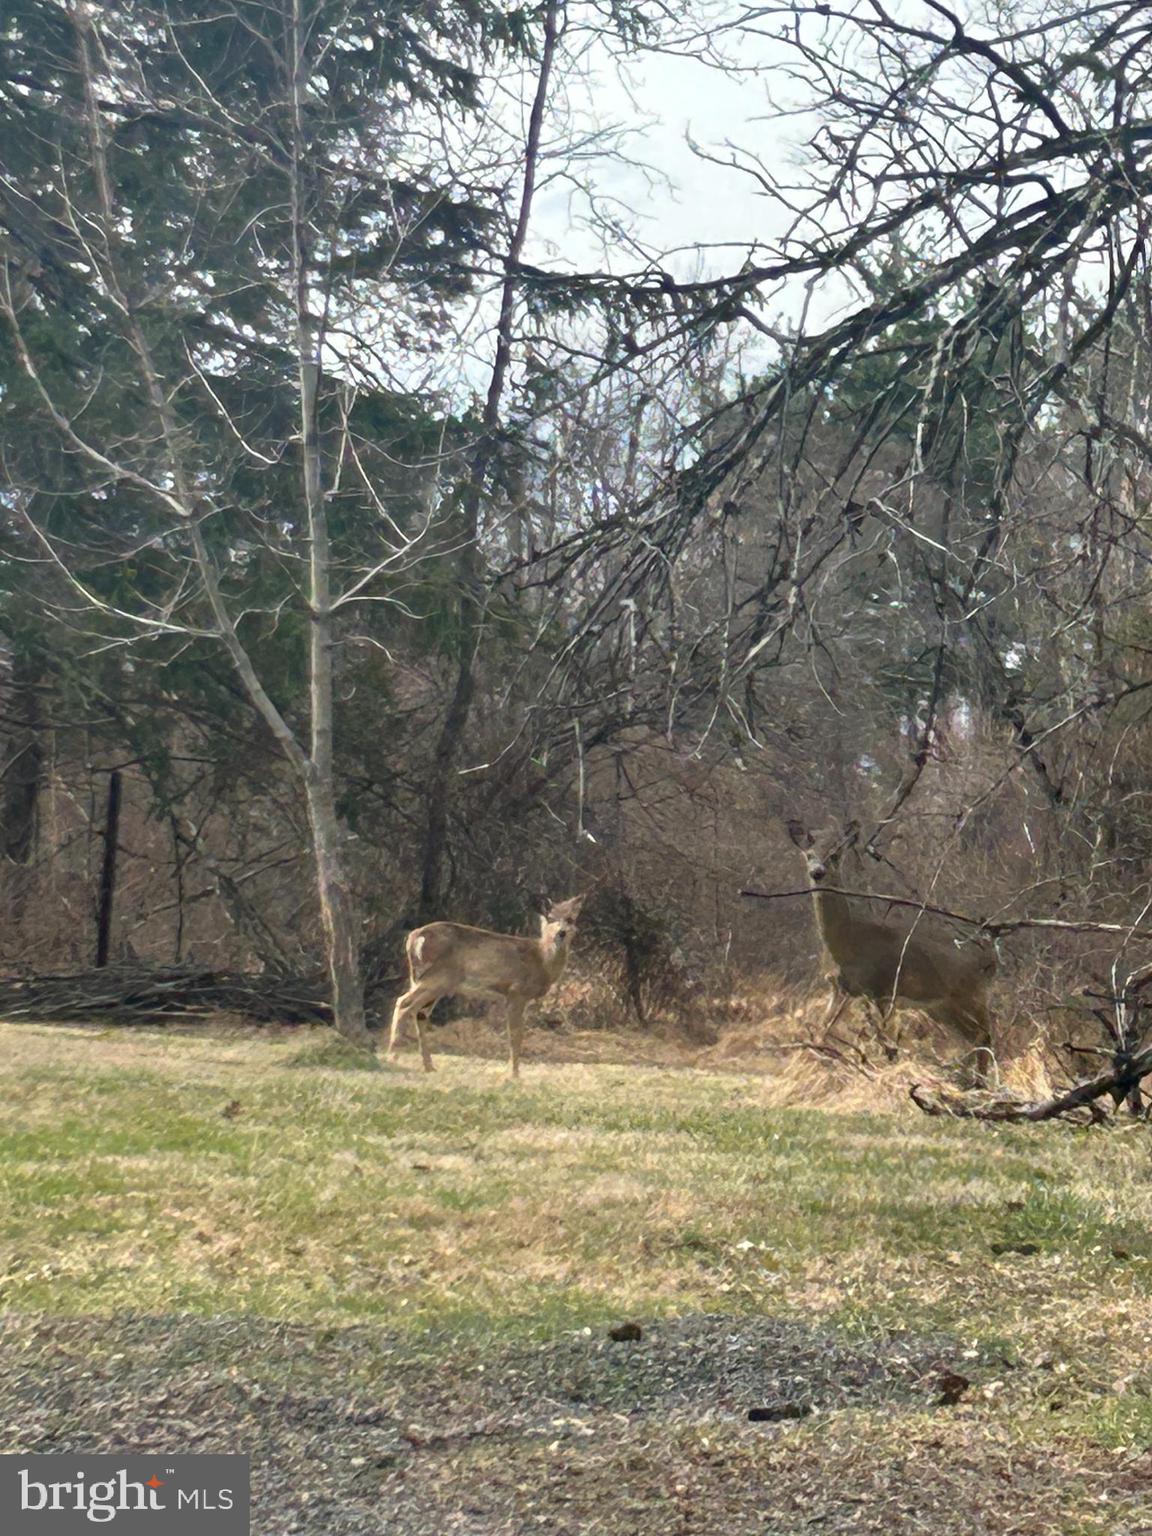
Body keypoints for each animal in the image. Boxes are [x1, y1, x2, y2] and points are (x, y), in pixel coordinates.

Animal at [387, 895, 585, 1077]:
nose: (561, 933)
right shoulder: (516, 991)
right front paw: (513, 1074)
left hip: (427, 980)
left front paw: (512, 1072)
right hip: (439, 977)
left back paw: (428, 1066)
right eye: (550, 917)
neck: (541, 959)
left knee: (419, 1013)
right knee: (404, 1003)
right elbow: (515, 1034)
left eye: (570, 919)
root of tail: (414, 937)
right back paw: (393, 1057)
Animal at [786, 819, 997, 1086]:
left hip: (969, 993)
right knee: (976, 1036)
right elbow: (822, 1032)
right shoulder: (838, 988)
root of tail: (989, 960)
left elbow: (886, 1043)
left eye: (835, 854)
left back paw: (973, 1080)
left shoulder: (880, 988)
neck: (847, 943)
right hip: (941, 1005)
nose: (817, 872)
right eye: (809, 854)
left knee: (984, 1034)